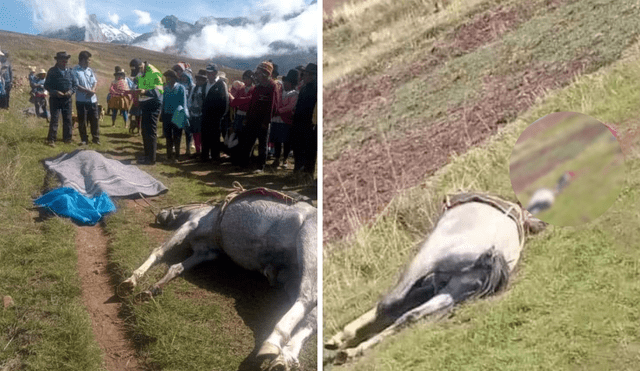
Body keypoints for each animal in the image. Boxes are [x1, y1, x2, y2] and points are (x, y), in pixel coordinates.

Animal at [118, 187, 318, 371]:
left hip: (307, 247)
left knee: (307, 297)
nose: (160, 215)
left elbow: (159, 252)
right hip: (291, 277)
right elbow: (176, 268)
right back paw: (285, 357)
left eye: (182, 205)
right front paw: (152, 288)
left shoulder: (190, 225)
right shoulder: (206, 252)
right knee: (311, 318)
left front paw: (131, 280)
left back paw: (273, 342)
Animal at [324, 195, 544, 366]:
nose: (541, 224)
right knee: (409, 316)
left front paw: (339, 339)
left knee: (388, 305)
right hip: (452, 289)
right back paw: (352, 351)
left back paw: (345, 344)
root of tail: (493, 253)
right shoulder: (435, 284)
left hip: (422, 263)